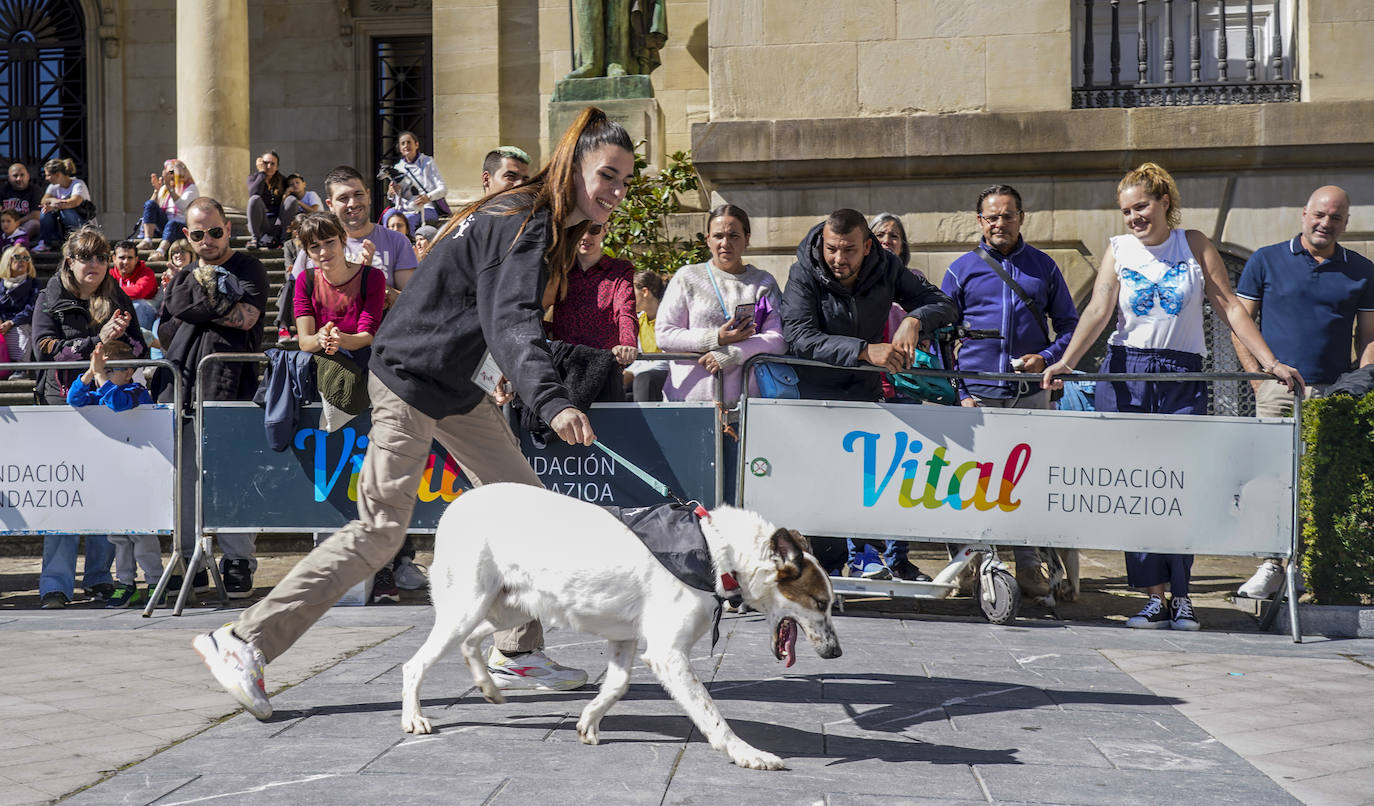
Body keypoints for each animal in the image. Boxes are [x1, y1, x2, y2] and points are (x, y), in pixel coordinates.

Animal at [398, 483, 840, 774]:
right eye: (820, 603)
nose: (836, 652)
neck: (716, 551)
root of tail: (455, 506)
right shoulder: (667, 654)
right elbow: (711, 714)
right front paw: (747, 754)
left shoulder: (626, 638)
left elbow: (617, 686)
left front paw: (589, 721)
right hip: (468, 605)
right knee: (415, 665)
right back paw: (414, 719)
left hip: (508, 607)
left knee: (472, 641)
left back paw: (488, 687)